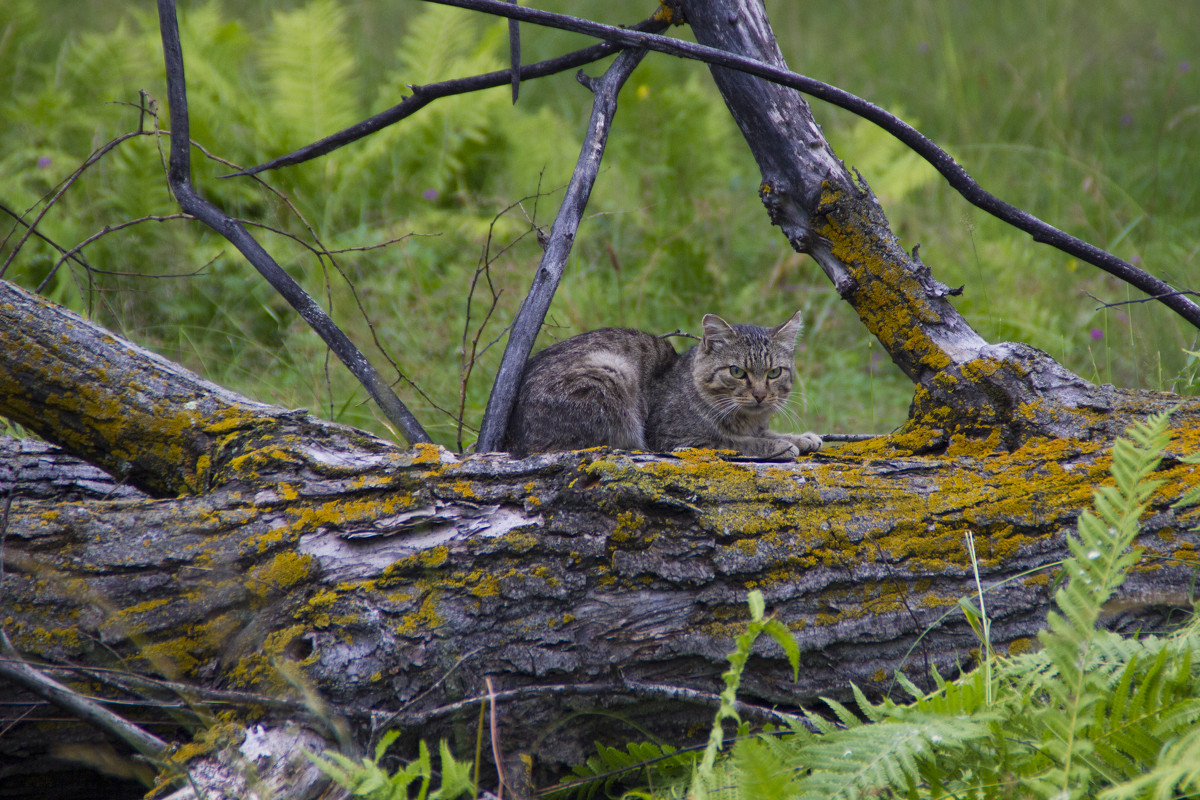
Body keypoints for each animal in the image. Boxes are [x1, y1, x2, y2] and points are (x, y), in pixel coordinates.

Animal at [501, 314, 820, 462]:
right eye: (737, 372)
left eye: (774, 372)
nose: (760, 395)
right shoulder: (679, 438)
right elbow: (735, 442)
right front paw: (779, 445)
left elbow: (765, 432)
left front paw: (802, 437)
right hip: (612, 373)